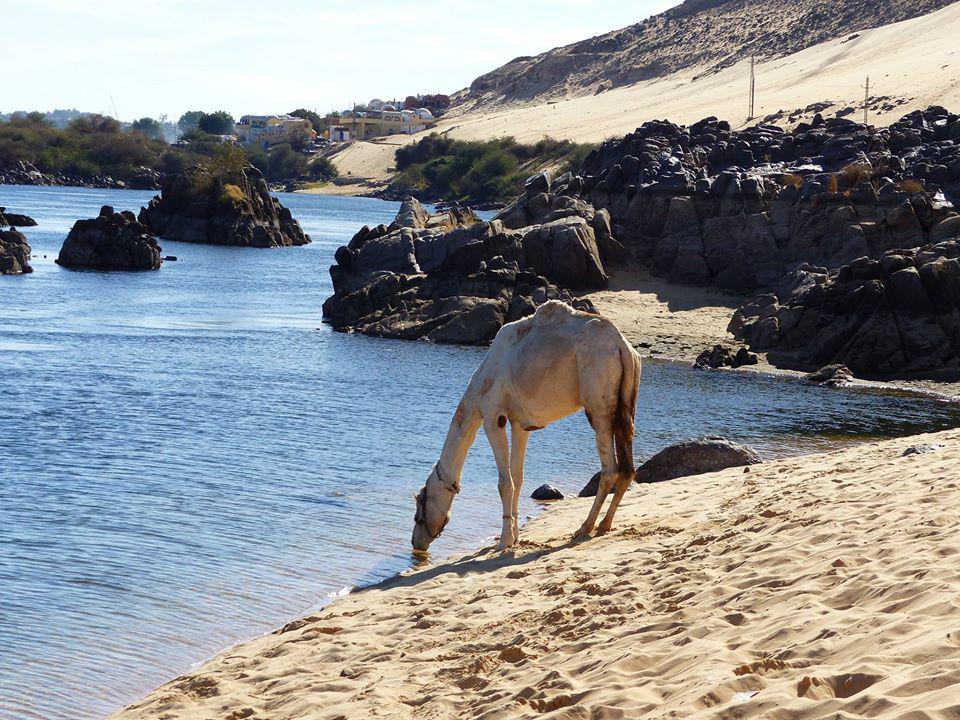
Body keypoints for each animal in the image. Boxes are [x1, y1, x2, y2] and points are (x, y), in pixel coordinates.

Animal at [414, 300, 644, 556]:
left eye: (419, 512)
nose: (416, 543)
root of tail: (622, 347)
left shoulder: (493, 416)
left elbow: (505, 483)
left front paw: (503, 542)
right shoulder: (519, 424)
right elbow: (518, 477)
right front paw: (514, 537)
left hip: (598, 399)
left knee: (610, 468)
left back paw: (584, 527)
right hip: (627, 401)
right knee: (628, 466)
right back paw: (605, 525)